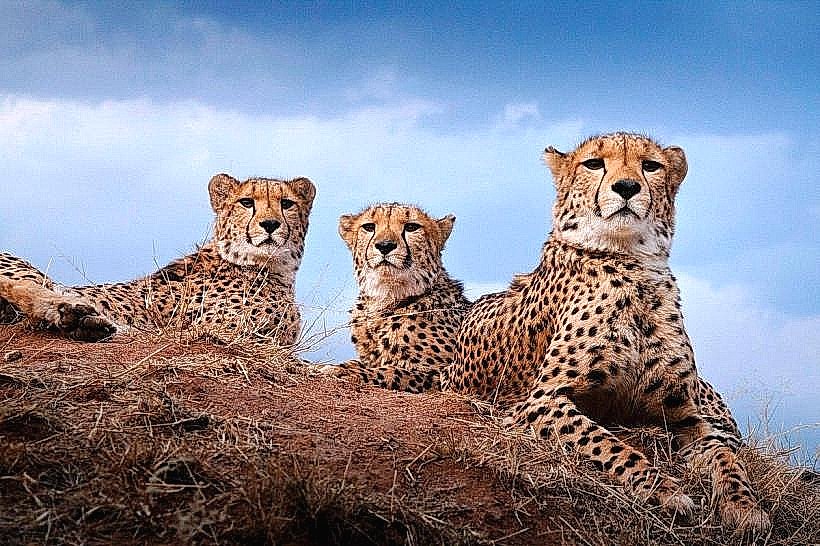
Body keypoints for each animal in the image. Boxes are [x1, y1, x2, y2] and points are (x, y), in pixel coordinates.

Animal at [0, 173, 315, 347]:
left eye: (287, 204)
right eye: (246, 202)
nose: (270, 224)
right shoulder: (223, 332)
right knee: (23, 289)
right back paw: (81, 315)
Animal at [319, 203, 470, 392]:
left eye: (412, 227)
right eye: (369, 227)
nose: (385, 245)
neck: (385, 299)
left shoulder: (443, 376)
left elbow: (392, 371)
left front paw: (341, 371)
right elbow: (363, 364)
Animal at [446, 132, 770, 533]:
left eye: (651, 165)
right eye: (594, 163)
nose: (627, 187)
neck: (632, 264)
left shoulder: (686, 416)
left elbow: (727, 459)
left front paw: (744, 507)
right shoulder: (540, 402)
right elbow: (606, 442)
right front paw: (663, 489)